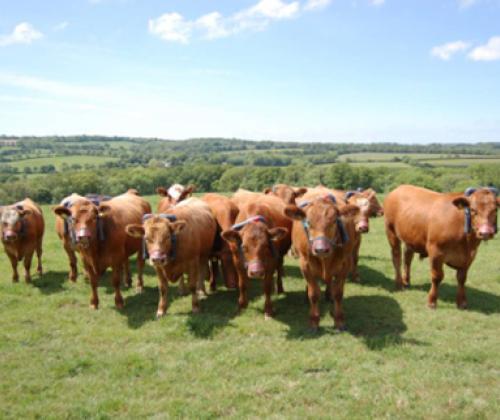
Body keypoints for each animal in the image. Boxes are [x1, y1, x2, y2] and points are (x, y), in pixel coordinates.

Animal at [223, 190, 290, 318]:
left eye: (266, 246)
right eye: (243, 247)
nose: (256, 272)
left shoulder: (271, 262)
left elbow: (266, 286)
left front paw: (268, 310)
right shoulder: (237, 261)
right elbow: (242, 284)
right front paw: (242, 306)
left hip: (281, 254)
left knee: (279, 269)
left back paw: (279, 288)